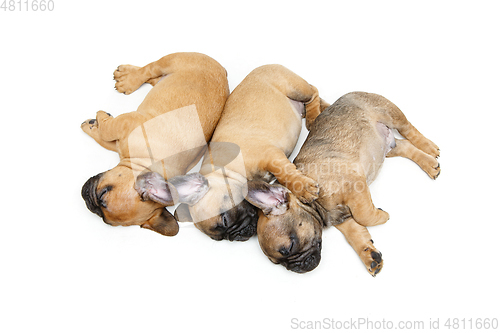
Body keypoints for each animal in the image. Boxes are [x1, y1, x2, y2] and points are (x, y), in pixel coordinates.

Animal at [80, 52, 229, 235]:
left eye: (101, 196)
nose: (86, 198)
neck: (141, 163)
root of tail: (223, 71)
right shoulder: (125, 124)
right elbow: (105, 133)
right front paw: (96, 121)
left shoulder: (123, 130)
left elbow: (105, 134)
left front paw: (94, 123)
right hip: (172, 61)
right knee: (149, 69)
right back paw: (128, 77)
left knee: (151, 76)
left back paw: (127, 79)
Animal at [148, 65, 326, 240]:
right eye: (219, 238)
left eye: (225, 220)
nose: (236, 236)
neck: (228, 171)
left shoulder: (271, 156)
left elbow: (285, 174)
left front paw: (303, 188)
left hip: (295, 88)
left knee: (313, 91)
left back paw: (314, 116)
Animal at [248, 91, 440, 274]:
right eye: (278, 263)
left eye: (290, 247)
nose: (295, 268)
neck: (316, 205)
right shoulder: (343, 220)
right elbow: (355, 234)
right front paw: (370, 255)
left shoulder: (355, 188)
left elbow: (364, 215)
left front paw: (382, 215)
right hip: (387, 148)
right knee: (405, 146)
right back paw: (430, 164)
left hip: (390, 114)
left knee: (408, 129)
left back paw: (429, 147)